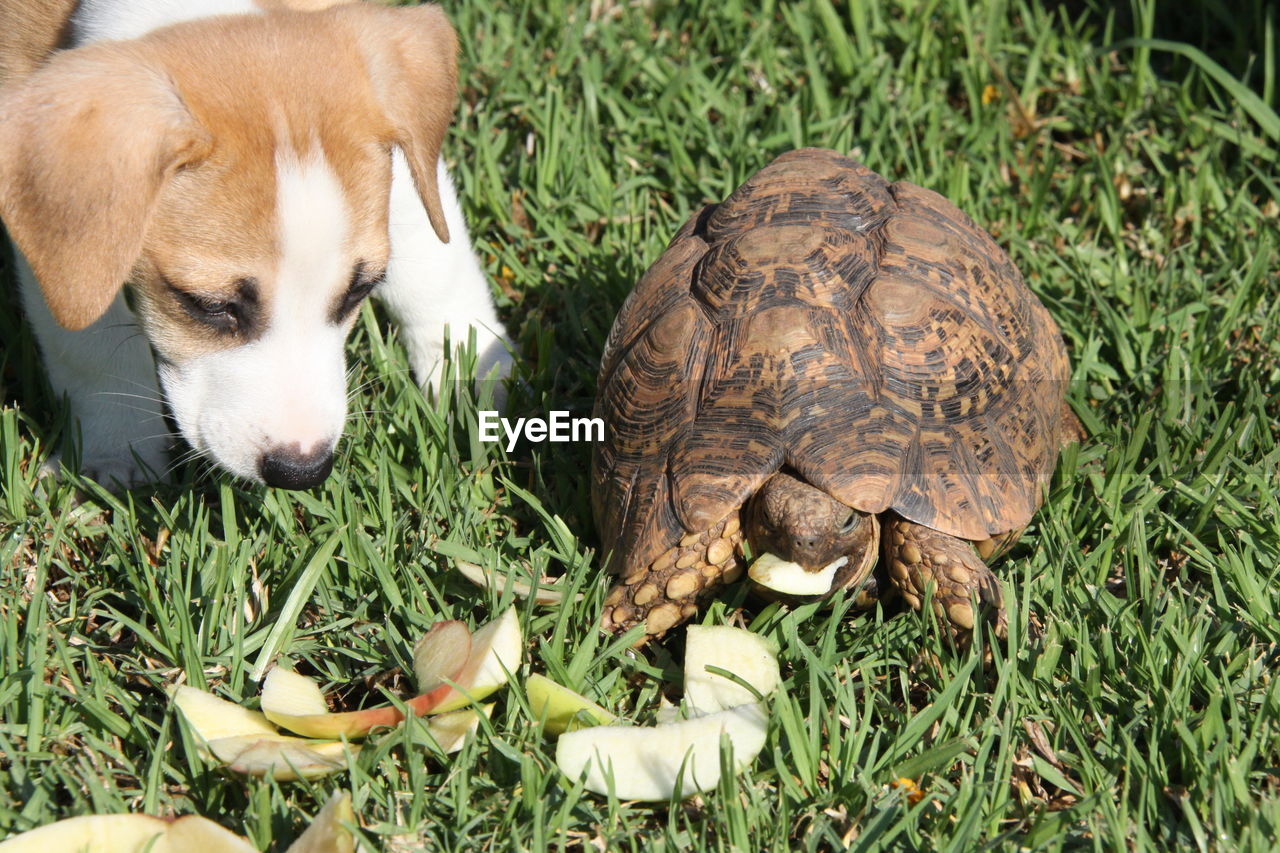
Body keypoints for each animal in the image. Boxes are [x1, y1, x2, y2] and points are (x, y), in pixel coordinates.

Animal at [0, 0, 509, 489]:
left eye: (359, 291)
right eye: (208, 306)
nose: (302, 472)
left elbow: (435, 265)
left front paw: (476, 375)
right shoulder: (69, 247)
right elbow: (90, 345)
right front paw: (114, 450)